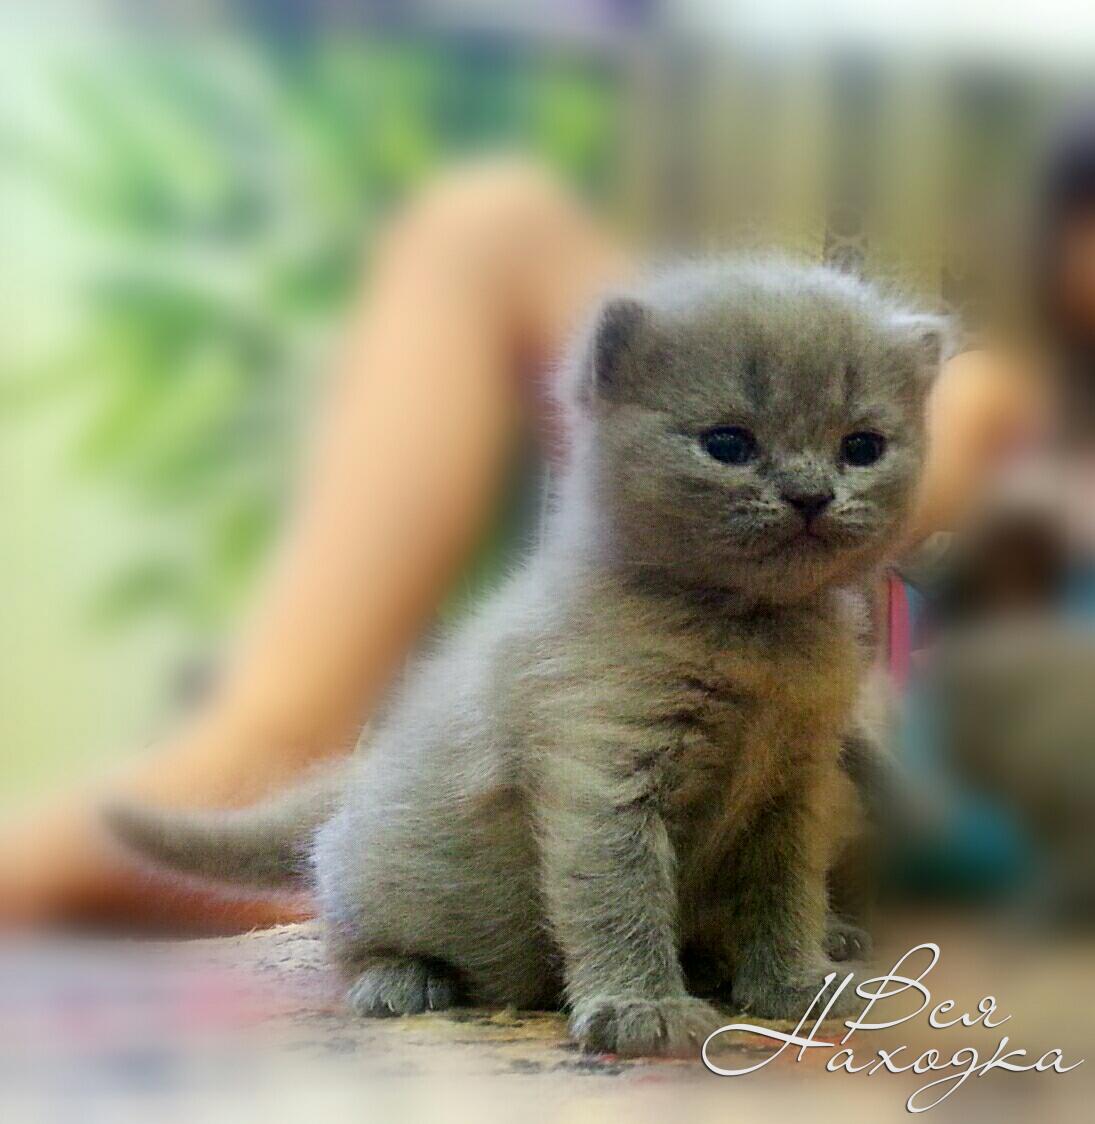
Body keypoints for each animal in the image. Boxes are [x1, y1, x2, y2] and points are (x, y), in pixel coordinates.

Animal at [109, 258, 946, 1057]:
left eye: (861, 447)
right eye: (727, 444)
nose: (810, 495)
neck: (752, 635)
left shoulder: (796, 789)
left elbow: (784, 896)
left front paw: (795, 986)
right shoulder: (601, 768)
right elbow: (619, 895)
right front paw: (641, 1009)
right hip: (361, 868)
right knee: (341, 935)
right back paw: (402, 979)